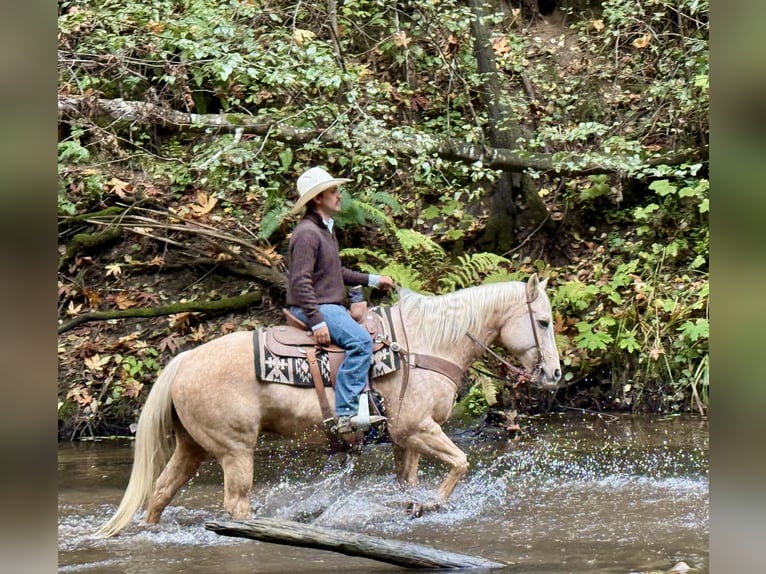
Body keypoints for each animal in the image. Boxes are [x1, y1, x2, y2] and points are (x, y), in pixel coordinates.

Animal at [96, 274, 561, 537]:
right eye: (542, 322)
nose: (555, 374)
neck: (425, 345)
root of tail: (184, 361)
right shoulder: (416, 428)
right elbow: (461, 463)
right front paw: (432, 505)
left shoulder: (405, 440)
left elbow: (408, 483)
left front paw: (412, 506)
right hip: (234, 450)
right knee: (234, 506)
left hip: (191, 447)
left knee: (159, 494)